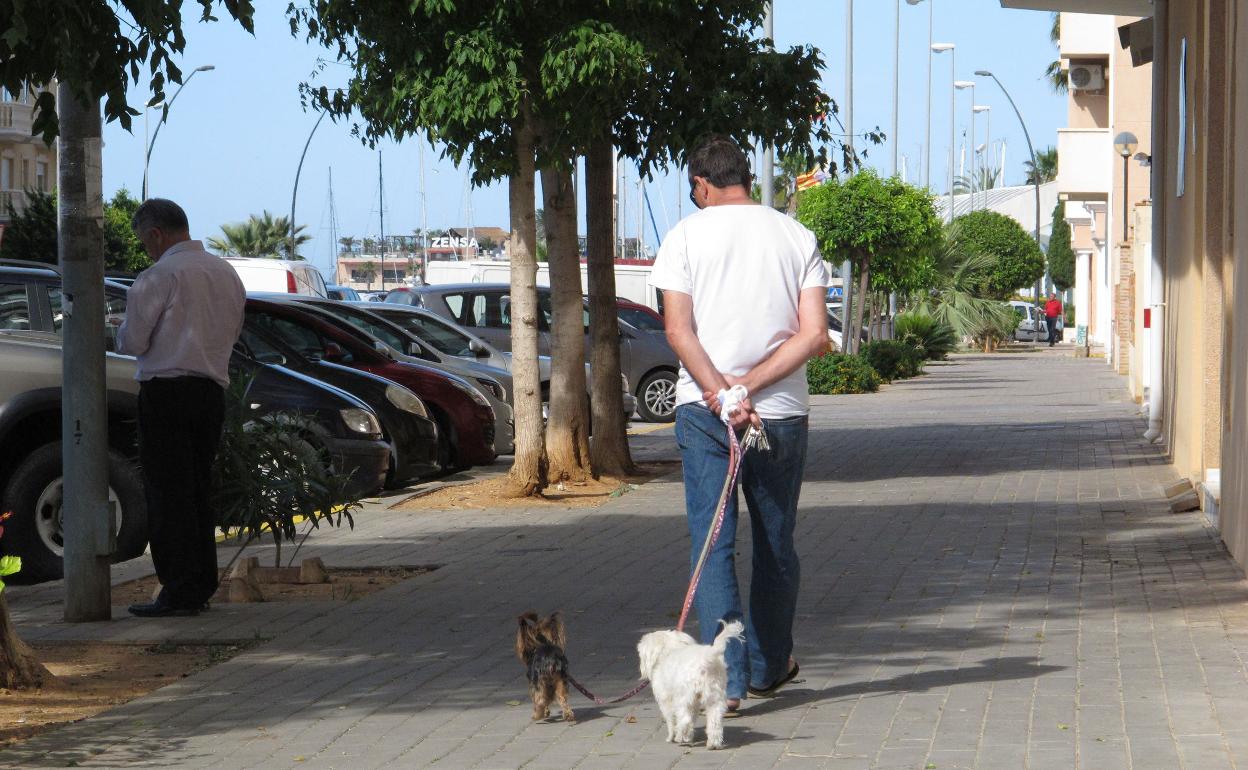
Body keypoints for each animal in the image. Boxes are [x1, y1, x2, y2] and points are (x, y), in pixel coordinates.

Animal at [638, 618, 743, 748]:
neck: (668, 652)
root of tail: (707, 658)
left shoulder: (666, 701)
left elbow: (671, 720)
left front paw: (671, 737)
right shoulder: (695, 703)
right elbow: (692, 719)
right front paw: (689, 736)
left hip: (683, 698)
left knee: (684, 719)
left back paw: (679, 737)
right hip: (715, 697)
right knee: (714, 721)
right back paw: (713, 744)